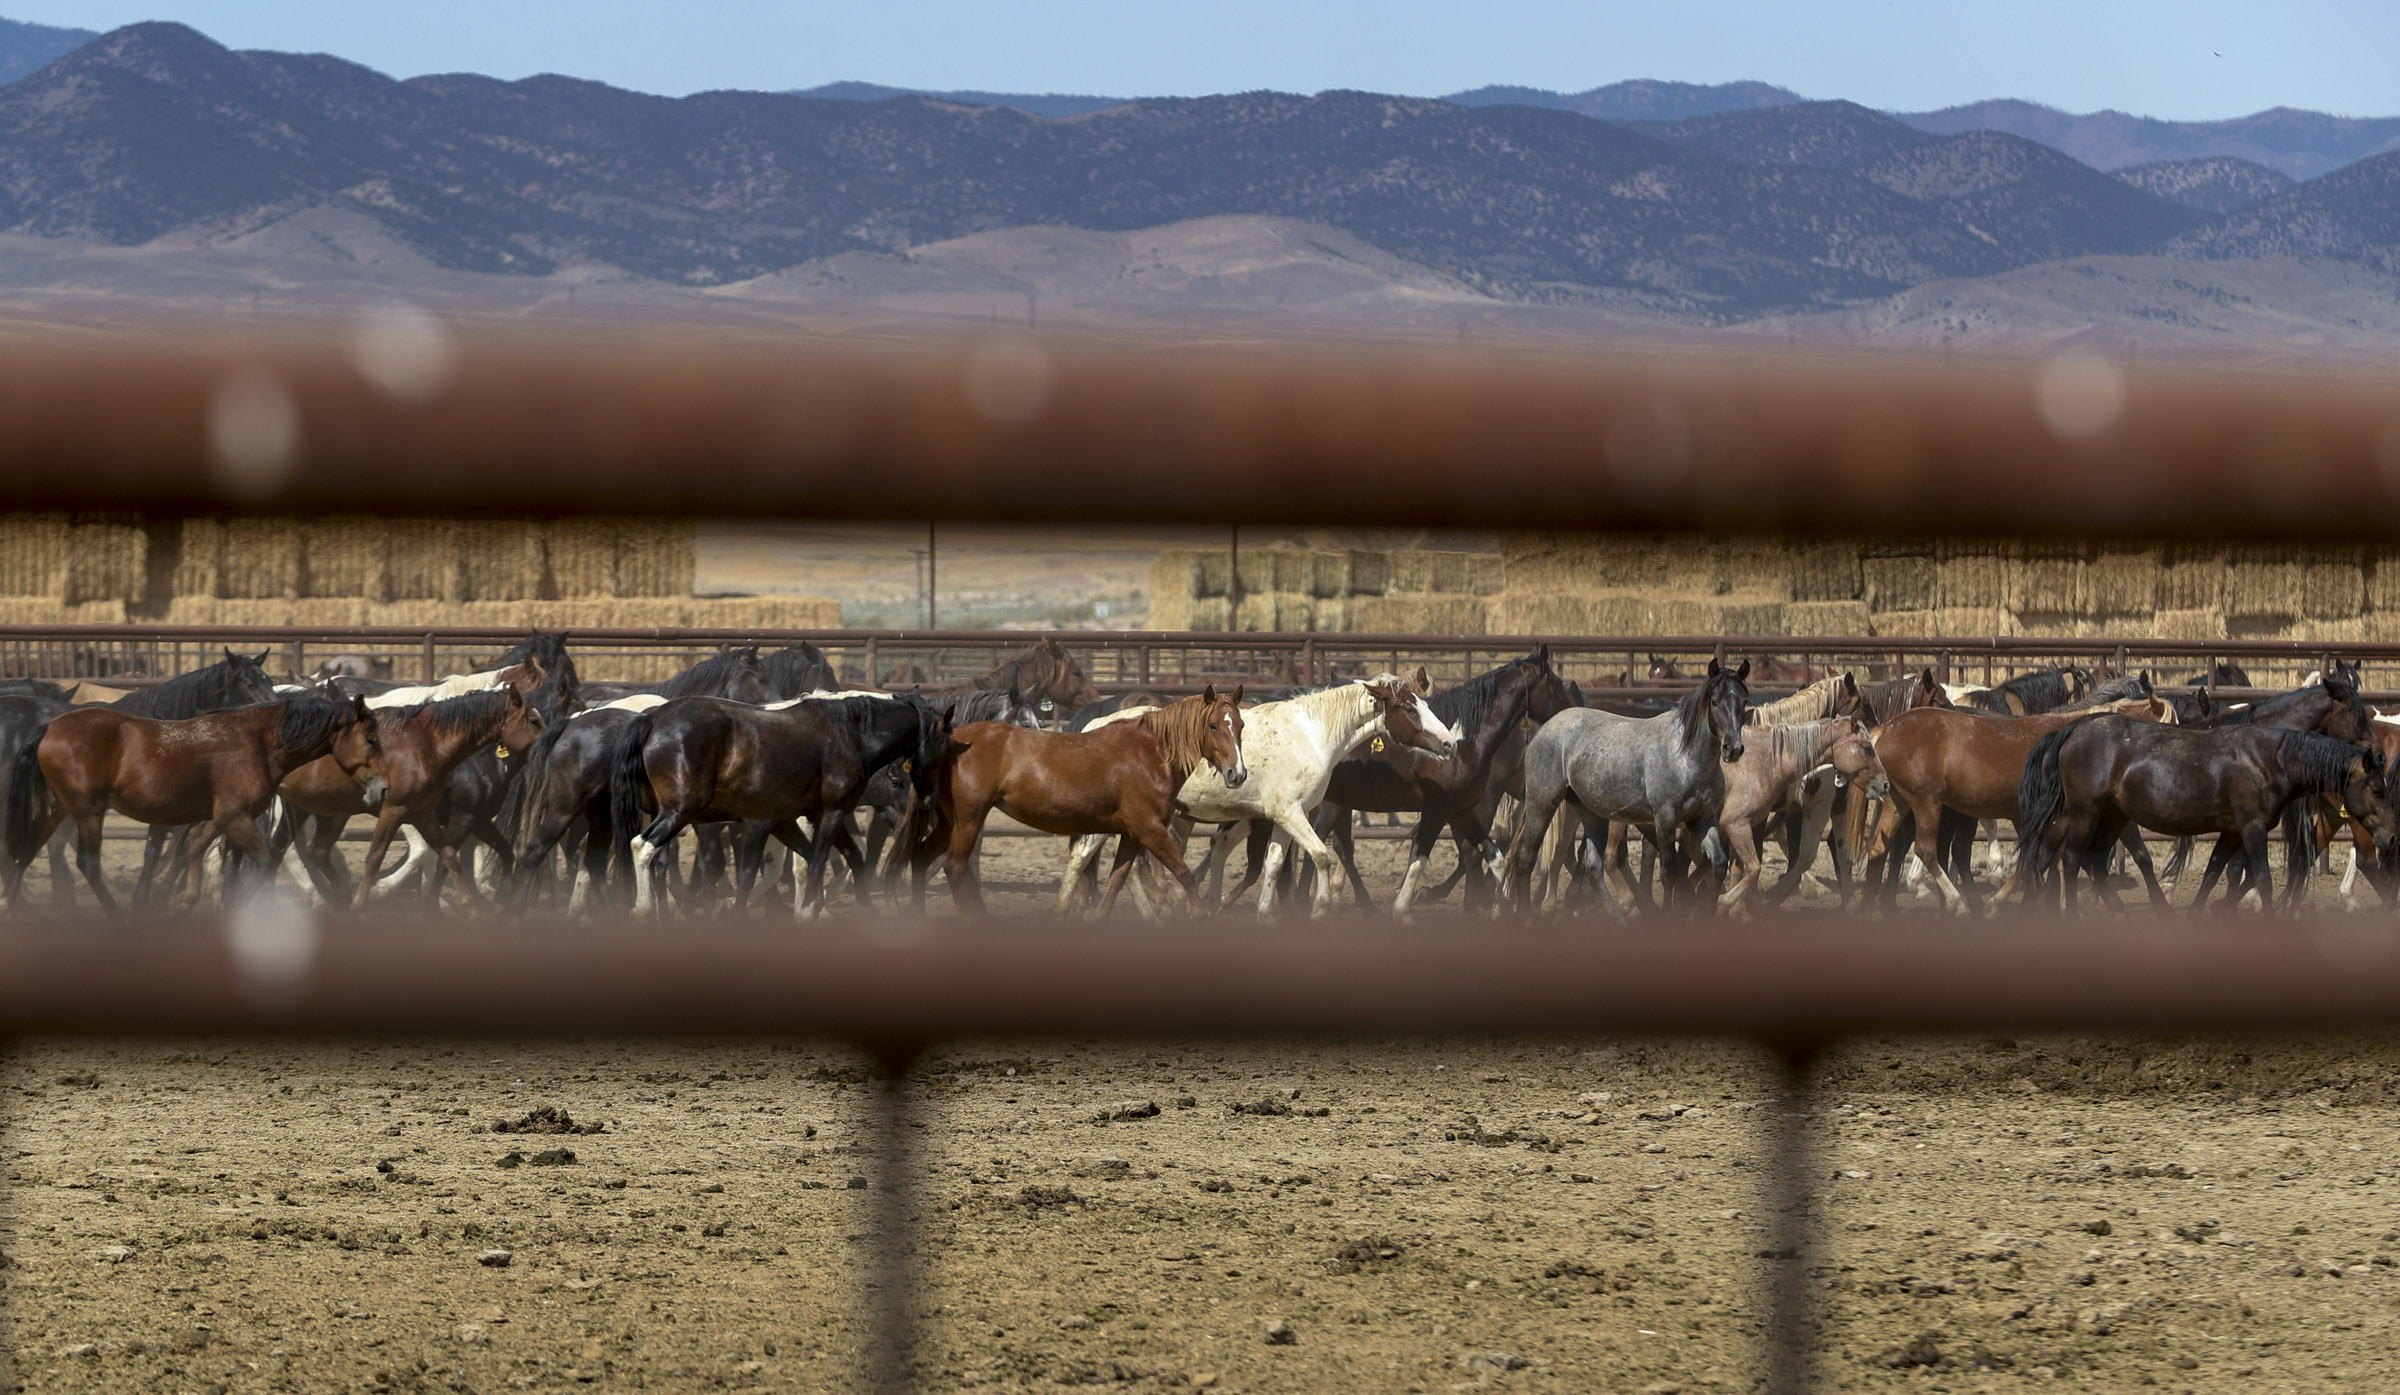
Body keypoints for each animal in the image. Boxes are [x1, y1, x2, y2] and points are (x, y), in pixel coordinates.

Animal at [3, 696, 369, 912]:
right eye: (370, 738)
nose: (377, 788)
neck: (258, 743)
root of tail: (49, 726)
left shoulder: (224, 818)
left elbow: (203, 852)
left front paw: (189, 900)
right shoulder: (234, 816)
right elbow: (262, 862)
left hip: (56, 809)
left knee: (25, 852)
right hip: (87, 811)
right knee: (87, 863)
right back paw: (119, 918)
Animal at [931, 681, 1248, 912]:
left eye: (1241, 725)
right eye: (1213, 725)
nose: (1238, 773)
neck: (1151, 753)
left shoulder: (1132, 833)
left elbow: (1118, 879)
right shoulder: (1150, 829)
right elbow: (1184, 875)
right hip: (969, 818)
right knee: (955, 867)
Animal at [1497, 662, 1747, 912]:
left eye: (1743, 702)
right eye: (1714, 701)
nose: (1732, 748)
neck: (1685, 757)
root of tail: (1544, 729)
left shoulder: (1702, 818)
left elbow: (1718, 865)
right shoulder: (1665, 818)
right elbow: (1669, 873)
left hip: (1590, 813)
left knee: (1592, 868)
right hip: (1542, 805)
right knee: (1525, 859)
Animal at [2016, 720, 2390, 912]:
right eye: (2376, 789)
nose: (2391, 836)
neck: (2269, 759)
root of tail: (2072, 731)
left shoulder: (2232, 832)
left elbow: (2213, 873)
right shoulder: (2252, 829)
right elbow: (2263, 879)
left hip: (2109, 817)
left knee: (2077, 859)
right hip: (2086, 814)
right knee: (2070, 859)